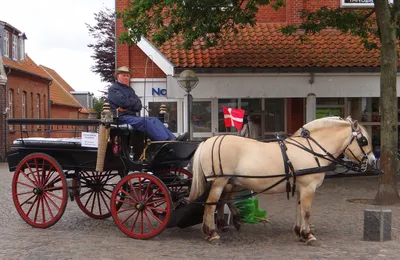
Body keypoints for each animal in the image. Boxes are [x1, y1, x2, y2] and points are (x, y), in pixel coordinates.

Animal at [188, 116, 376, 244]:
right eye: (364, 140)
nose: (373, 161)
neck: (310, 150)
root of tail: (207, 141)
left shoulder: (301, 187)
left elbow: (299, 209)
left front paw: (300, 232)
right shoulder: (308, 187)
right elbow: (306, 211)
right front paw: (308, 235)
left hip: (229, 182)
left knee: (221, 201)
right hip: (219, 182)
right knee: (211, 205)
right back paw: (211, 232)